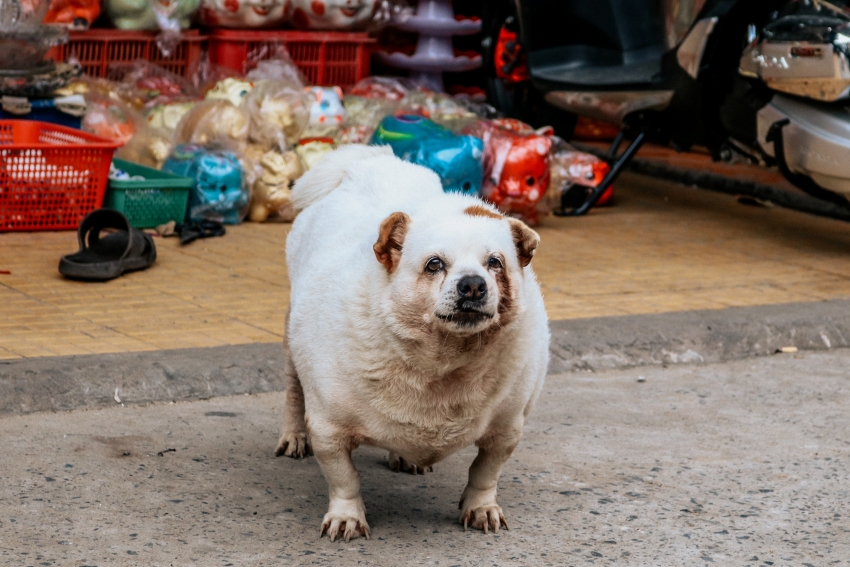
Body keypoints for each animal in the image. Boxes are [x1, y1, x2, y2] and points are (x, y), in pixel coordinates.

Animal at [274, 144, 548, 544]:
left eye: (495, 263)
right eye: (434, 264)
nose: (472, 284)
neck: (443, 363)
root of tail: (365, 162)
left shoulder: (507, 428)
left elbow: (485, 472)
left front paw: (481, 508)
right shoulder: (328, 428)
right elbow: (344, 479)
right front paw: (346, 517)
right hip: (292, 345)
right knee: (294, 391)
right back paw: (293, 436)